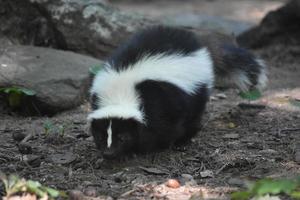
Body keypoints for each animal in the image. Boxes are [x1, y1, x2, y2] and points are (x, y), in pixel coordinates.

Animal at [87, 25, 268, 159]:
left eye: (122, 137)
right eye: (101, 136)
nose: (108, 153)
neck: (120, 92)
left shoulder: (159, 98)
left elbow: (162, 127)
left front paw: (149, 148)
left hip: (197, 89)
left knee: (193, 114)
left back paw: (184, 140)